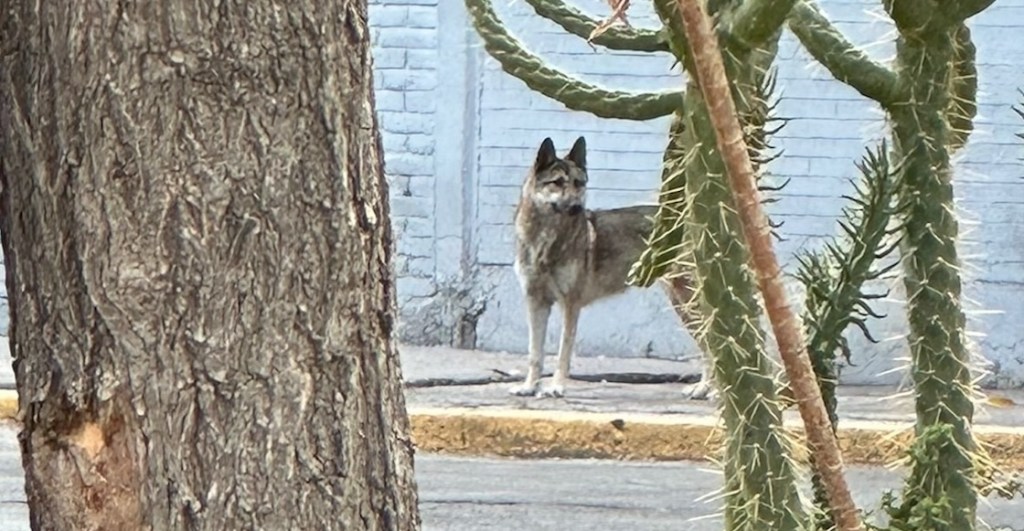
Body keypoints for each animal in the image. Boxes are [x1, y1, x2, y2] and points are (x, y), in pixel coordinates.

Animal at [507, 137, 708, 399]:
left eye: (579, 183)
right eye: (557, 182)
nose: (576, 208)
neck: (546, 239)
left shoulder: (570, 305)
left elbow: (563, 352)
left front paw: (557, 386)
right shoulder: (535, 303)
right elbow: (534, 353)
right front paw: (530, 386)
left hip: (688, 302)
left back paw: (708, 389)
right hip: (681, 304)